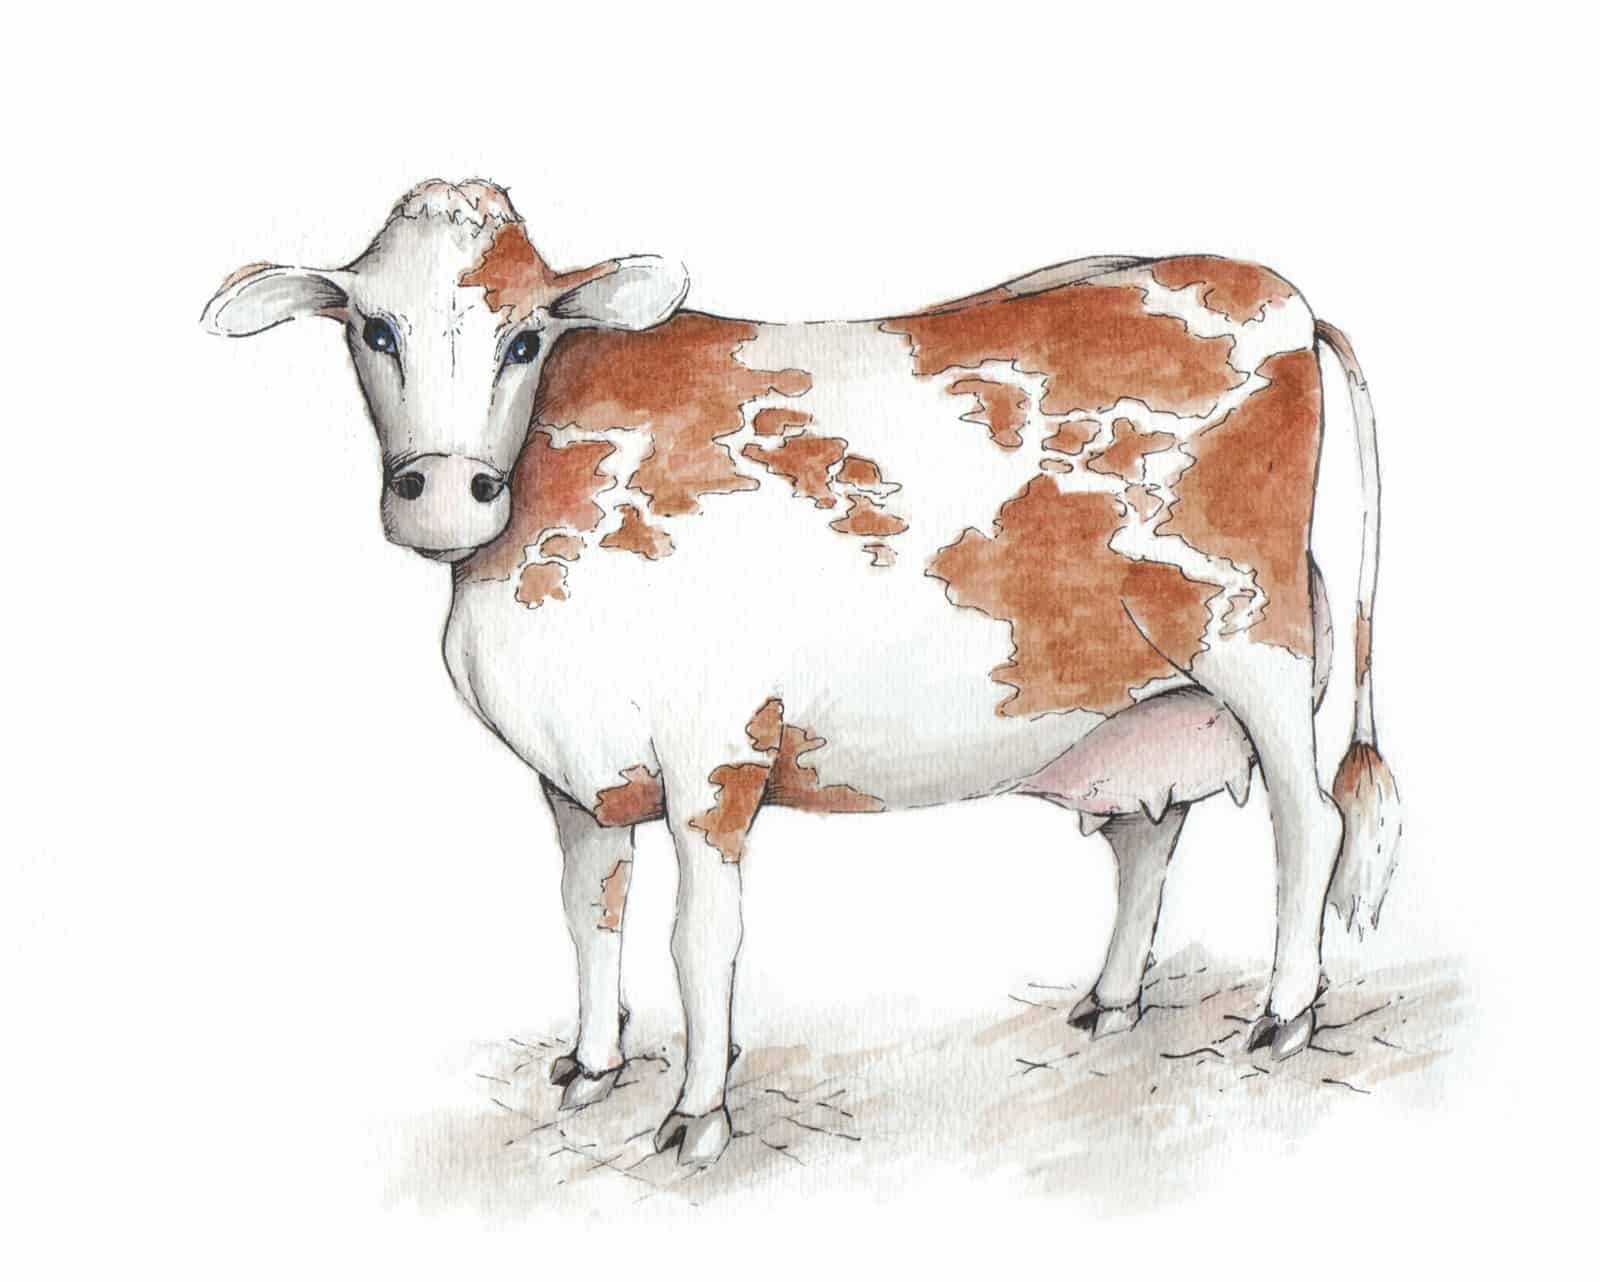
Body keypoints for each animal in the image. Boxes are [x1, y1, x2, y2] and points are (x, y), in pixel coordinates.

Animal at [202, 179, 1401, 1166]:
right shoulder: (575, 771)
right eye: (374, 326)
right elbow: (589, 913)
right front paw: (591, 1065)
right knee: (1149, 835)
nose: (446, 494)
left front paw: (697, 1114)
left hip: (1256, 646)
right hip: (1139, 694)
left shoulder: (714, 753)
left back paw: (1285, 1014)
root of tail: (1279, 295)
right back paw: (1109, 1002)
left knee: (1306, 823)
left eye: (525, 336)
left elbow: (699, 941)